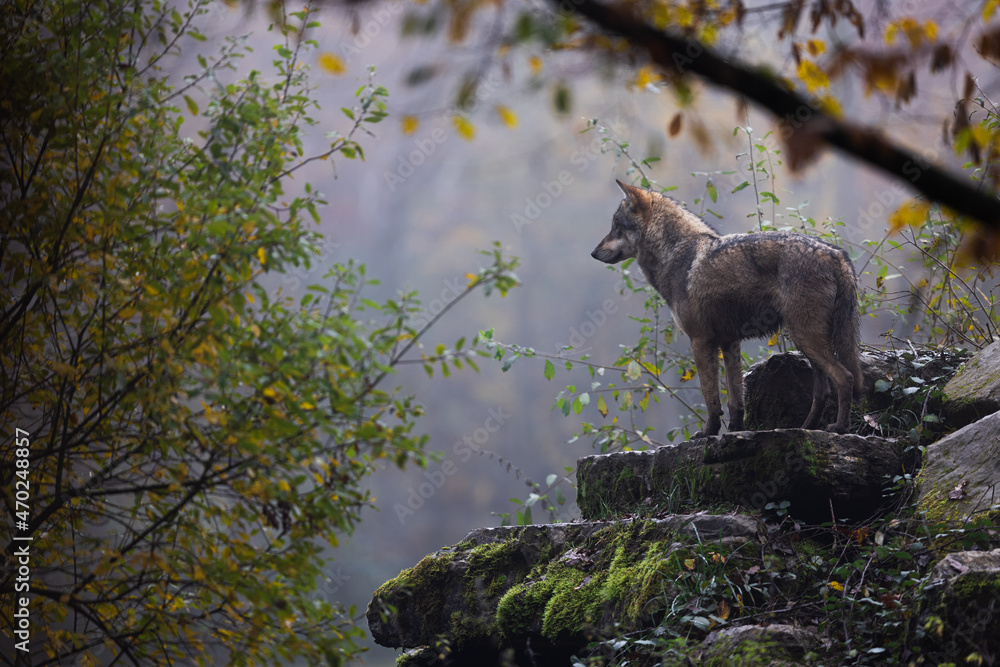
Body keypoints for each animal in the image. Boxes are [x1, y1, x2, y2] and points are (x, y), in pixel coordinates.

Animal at [592, 179, 863, 438]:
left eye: (616, 226)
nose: (593, 253)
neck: (678, 253)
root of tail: (836, 254)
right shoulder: (729, 343)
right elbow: (735, 400)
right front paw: (734, 431)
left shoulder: (701, 341)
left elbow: (710, 397)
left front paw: (707, 433)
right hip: (810, 345)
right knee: (823, 392)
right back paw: (806, 428)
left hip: (805, 338)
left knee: (845, 377)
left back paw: (840, 428)